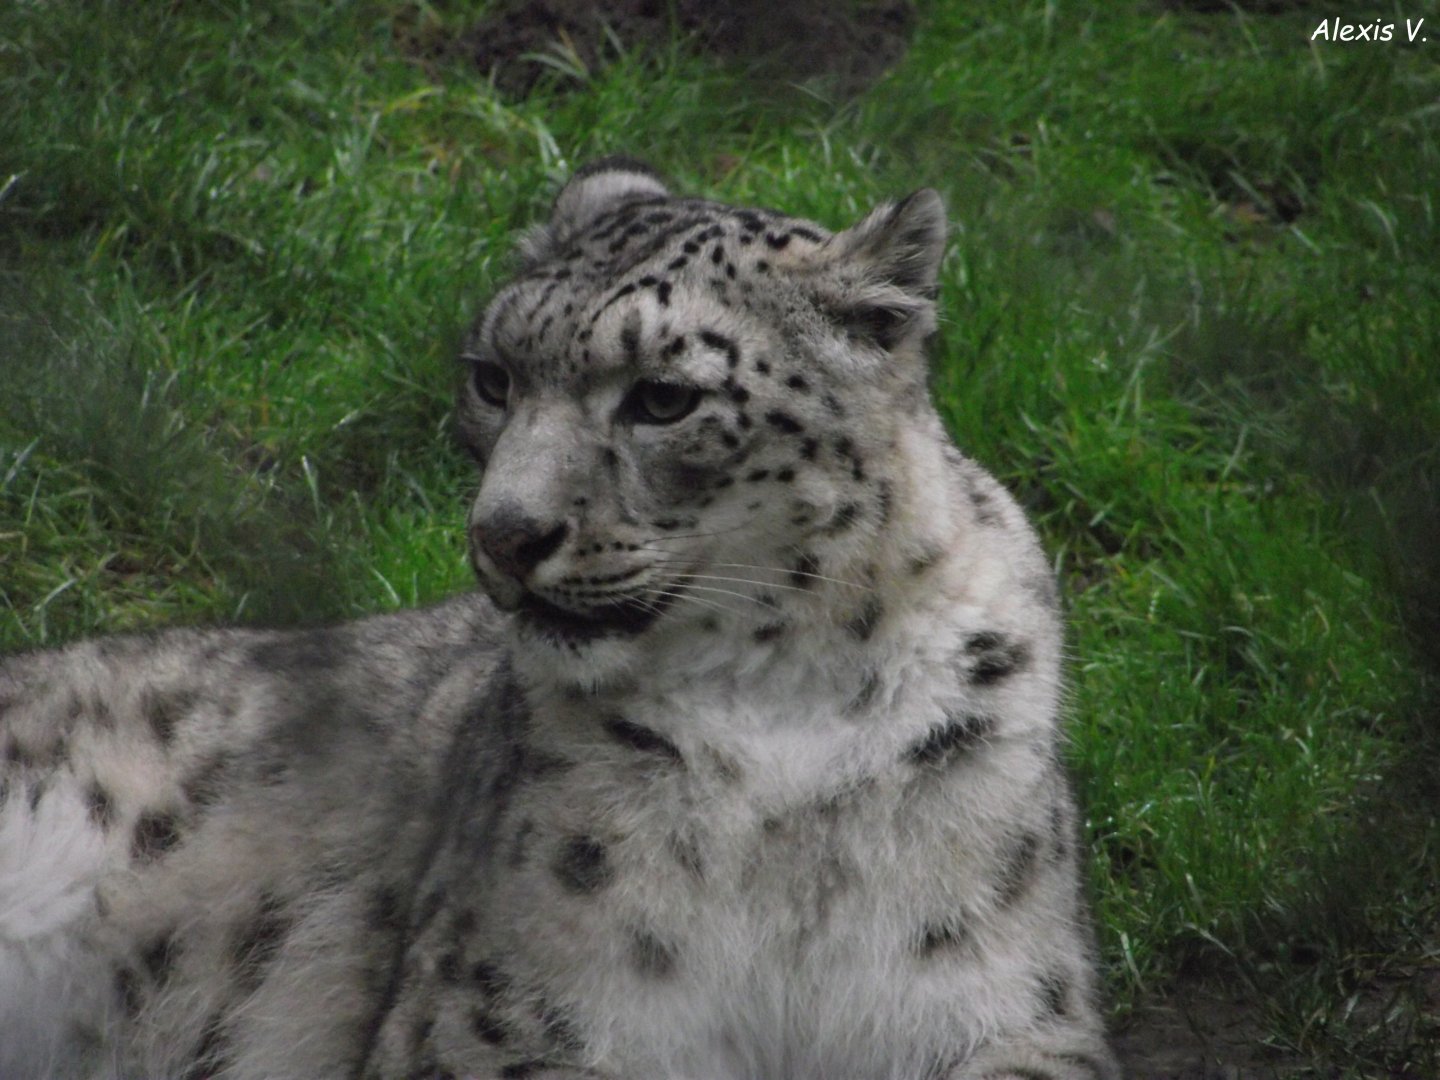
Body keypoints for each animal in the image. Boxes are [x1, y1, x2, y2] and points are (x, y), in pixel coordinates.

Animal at [0, 158, 1120, 1080]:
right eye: (492, 378)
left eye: (664, 397)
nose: (504, 533)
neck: (784, 698)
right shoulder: (506, 1019)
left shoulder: (1005, 1005)